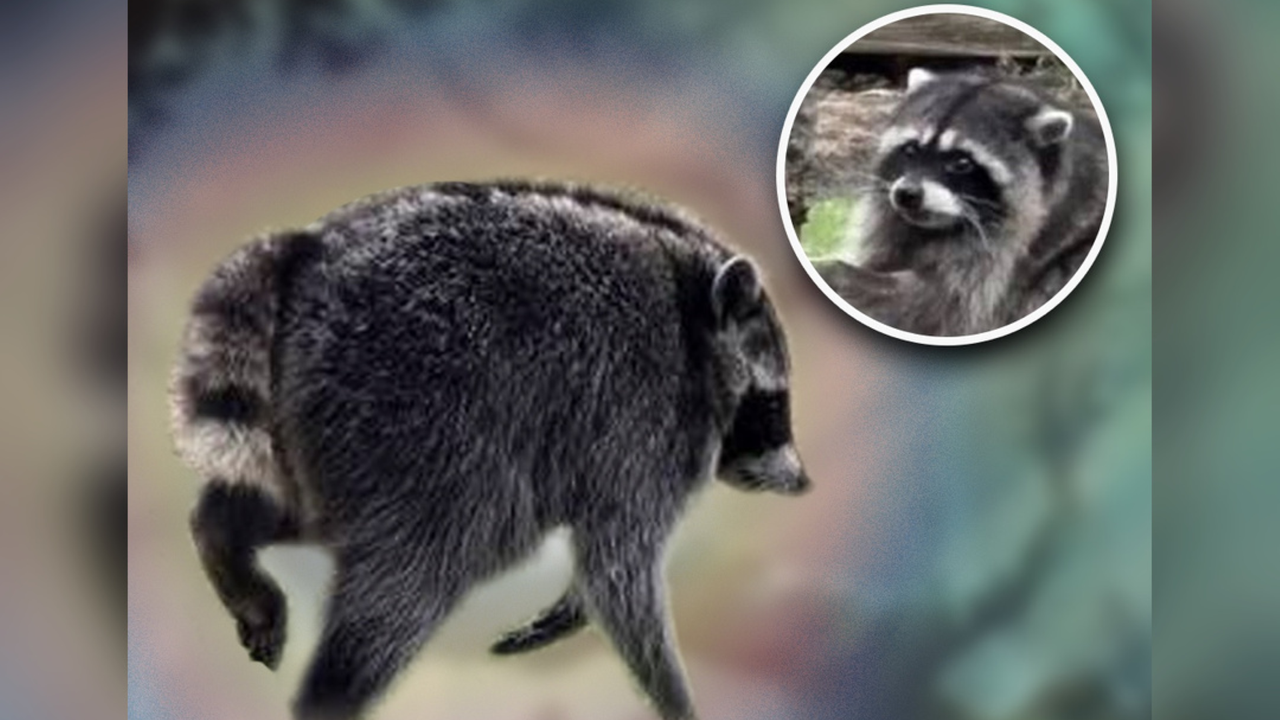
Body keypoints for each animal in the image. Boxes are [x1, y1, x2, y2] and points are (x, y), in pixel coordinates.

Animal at [169, 180, 810, 720]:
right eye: (772, 406)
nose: (802, 482)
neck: (693, 311)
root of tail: (305, 248)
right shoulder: (646, 413)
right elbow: (619, 568)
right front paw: (672, 695)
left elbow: (604, 560)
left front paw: (569, 609)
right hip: (416, 404)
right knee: (424, 562)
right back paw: (332, 688)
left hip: (324, 421)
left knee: (302, 505)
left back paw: (220, 533)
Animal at [819, 67, 1108, 336]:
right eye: (911, 149)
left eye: (961, 163)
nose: (907, 195)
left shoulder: (1006, 273)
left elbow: (933, 308)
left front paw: (838, 275)